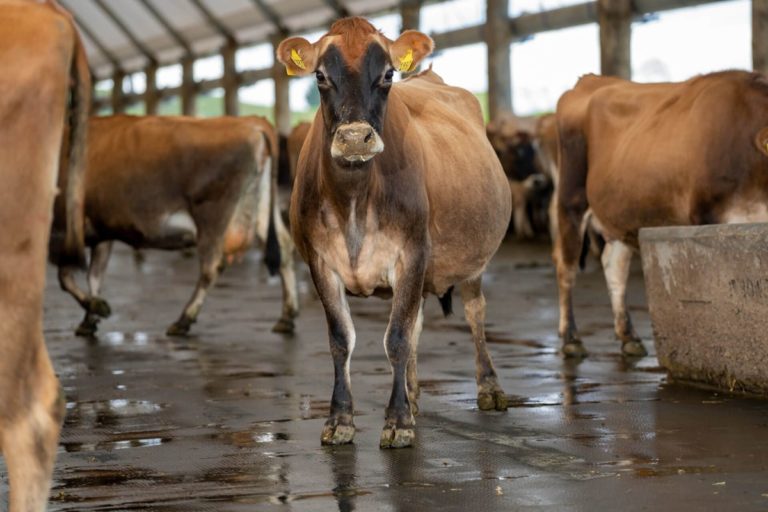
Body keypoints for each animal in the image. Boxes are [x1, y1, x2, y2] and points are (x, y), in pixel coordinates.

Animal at [56, 115, 299, 337]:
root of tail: (252, 122)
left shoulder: (67, 229)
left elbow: (65, 277)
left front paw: (96, 308)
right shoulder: (103, 230)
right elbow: (94, 277)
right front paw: (90, 317)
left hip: (212, 214)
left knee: (212, 266)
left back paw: (183, 320)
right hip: (260, 209)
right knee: (284, 249)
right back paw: (286, 317)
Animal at [277, 17, 511, 449]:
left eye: (387, 74)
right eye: (320, 75)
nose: (355, 137)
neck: (353, 199)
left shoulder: (413, 253)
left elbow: (397, 337)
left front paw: (398, 421)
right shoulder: (319, 262)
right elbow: (342, 339)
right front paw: (341, 419)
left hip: (472, 261)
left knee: (474, 312)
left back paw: (489, 387)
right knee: (418, 322)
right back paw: (414, 394)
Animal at [554, 70, 768, 358]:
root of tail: (590, 79)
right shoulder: (707, 220)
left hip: (619, 215)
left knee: (613, 264)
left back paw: (629, 336)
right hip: (571, 199)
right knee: (566, 266)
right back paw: (571, 338)